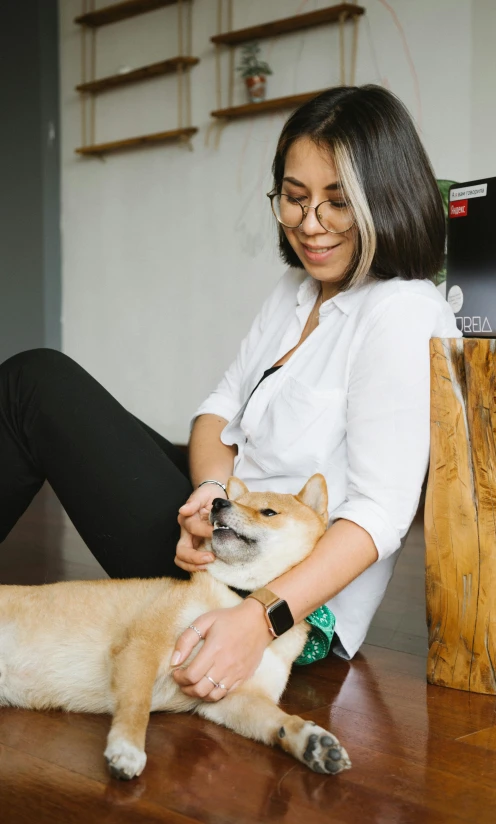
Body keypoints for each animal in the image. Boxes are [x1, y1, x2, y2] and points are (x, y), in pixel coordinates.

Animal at [0, 476, 350, 780]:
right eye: (235, 501)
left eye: (268, 512)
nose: (218, 502)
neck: (237, 597)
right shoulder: (143, 647)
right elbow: (136, 705)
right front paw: (127, 747)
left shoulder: (229, 696)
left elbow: (278, 721)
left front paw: (310, 743)